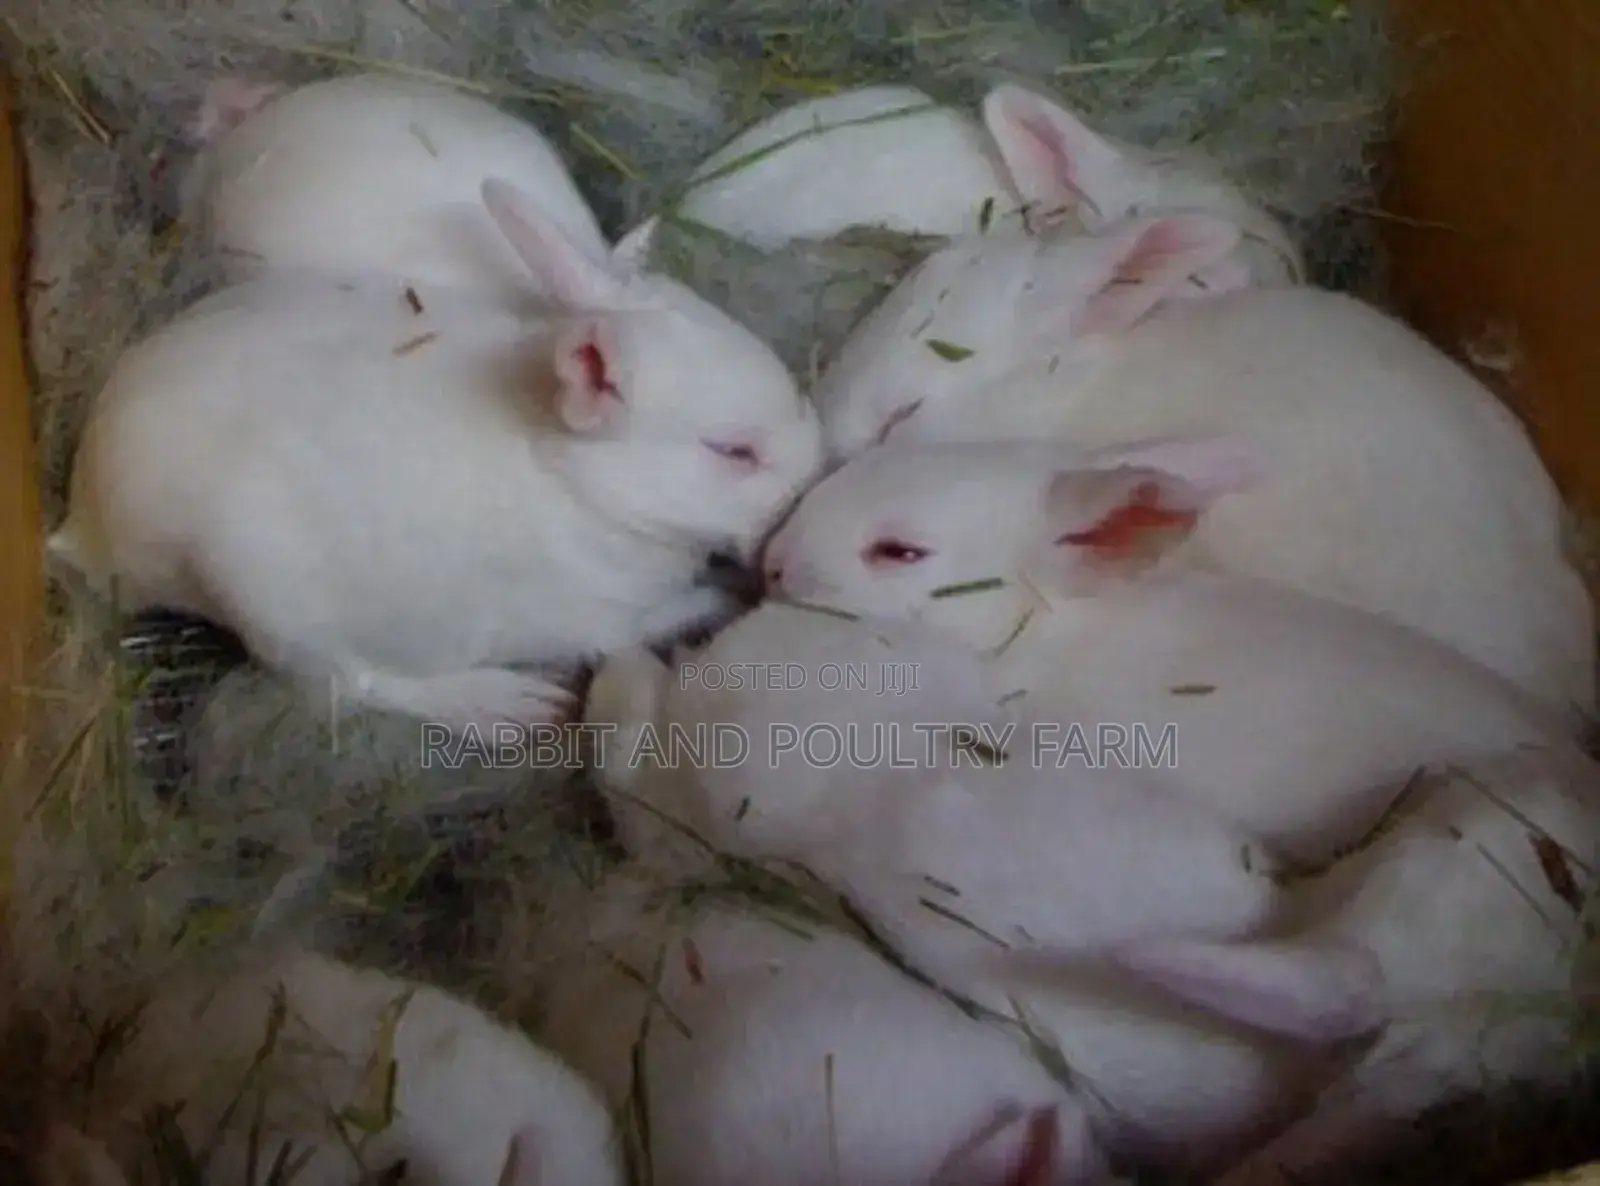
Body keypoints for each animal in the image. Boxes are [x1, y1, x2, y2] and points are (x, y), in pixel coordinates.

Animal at [47, 178, 823, 731]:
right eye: (733, 452)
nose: (816, 473)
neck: (579, 482)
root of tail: (86, 524)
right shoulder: (607, 617)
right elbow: (668, 613)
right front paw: (729, 596)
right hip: (271, 605)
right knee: (348, 688)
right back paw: (508, 706)